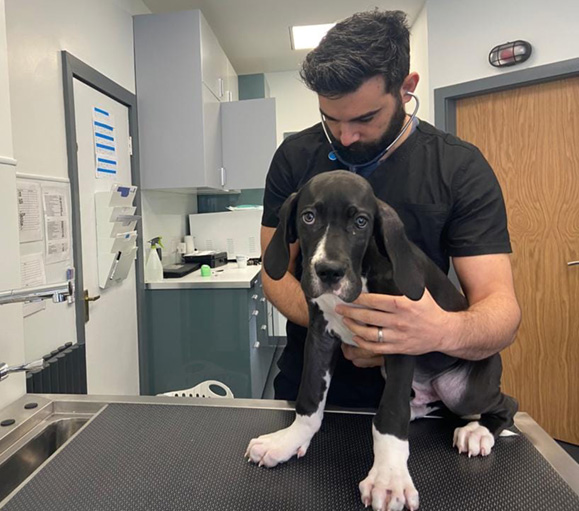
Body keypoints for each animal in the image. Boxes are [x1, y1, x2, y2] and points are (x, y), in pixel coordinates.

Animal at [247, 172, 520, 511]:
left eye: (361, 222)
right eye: (308, 217)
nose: (329, 272)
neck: (363, 271)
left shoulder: (402, 336)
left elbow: (389, 414)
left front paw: (389, 479)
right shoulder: (320, 335)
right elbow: (309, 397)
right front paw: (288, 440)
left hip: (465, 392)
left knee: (506, 404)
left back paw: (478, 432)